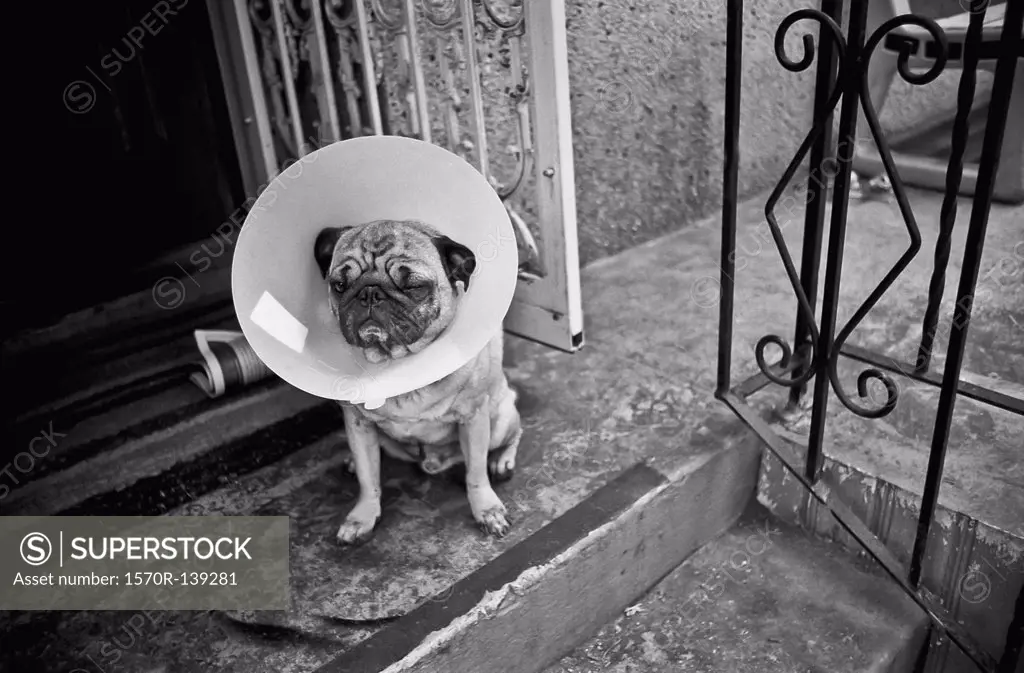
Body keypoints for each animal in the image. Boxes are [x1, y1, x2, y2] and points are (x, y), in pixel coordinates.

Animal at [315, 218, 524, 544]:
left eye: (413, 286)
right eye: (340, 285)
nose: (370, 293)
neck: (399, 362)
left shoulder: (473, 418)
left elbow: (475, 474)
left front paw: (487, 510)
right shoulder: (357, 424)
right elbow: (368, 478)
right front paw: (362, 516)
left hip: (501, 419)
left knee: (514, 434)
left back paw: (502, 461)